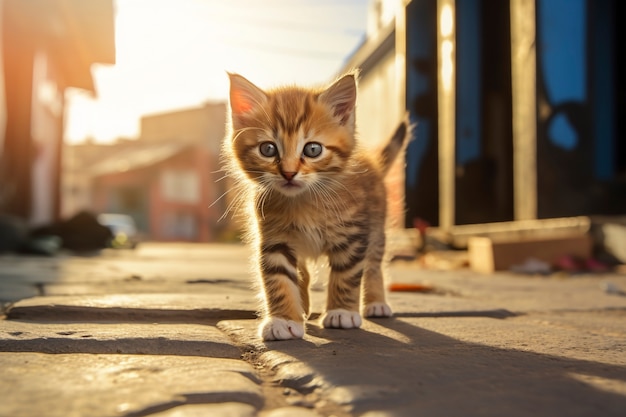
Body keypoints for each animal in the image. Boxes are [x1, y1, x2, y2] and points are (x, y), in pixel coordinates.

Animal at [223, 70, 410, 338]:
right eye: (268, 149)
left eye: (312, 149)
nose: (289, 173)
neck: (304, 201)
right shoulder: (274, 239)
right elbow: (279, 279)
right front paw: (283, 319)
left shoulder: (353, 235)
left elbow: (347, 275)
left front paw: (341, 312)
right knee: (304, 272)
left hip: (376, 227)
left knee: (374, 264)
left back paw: (376, 303)